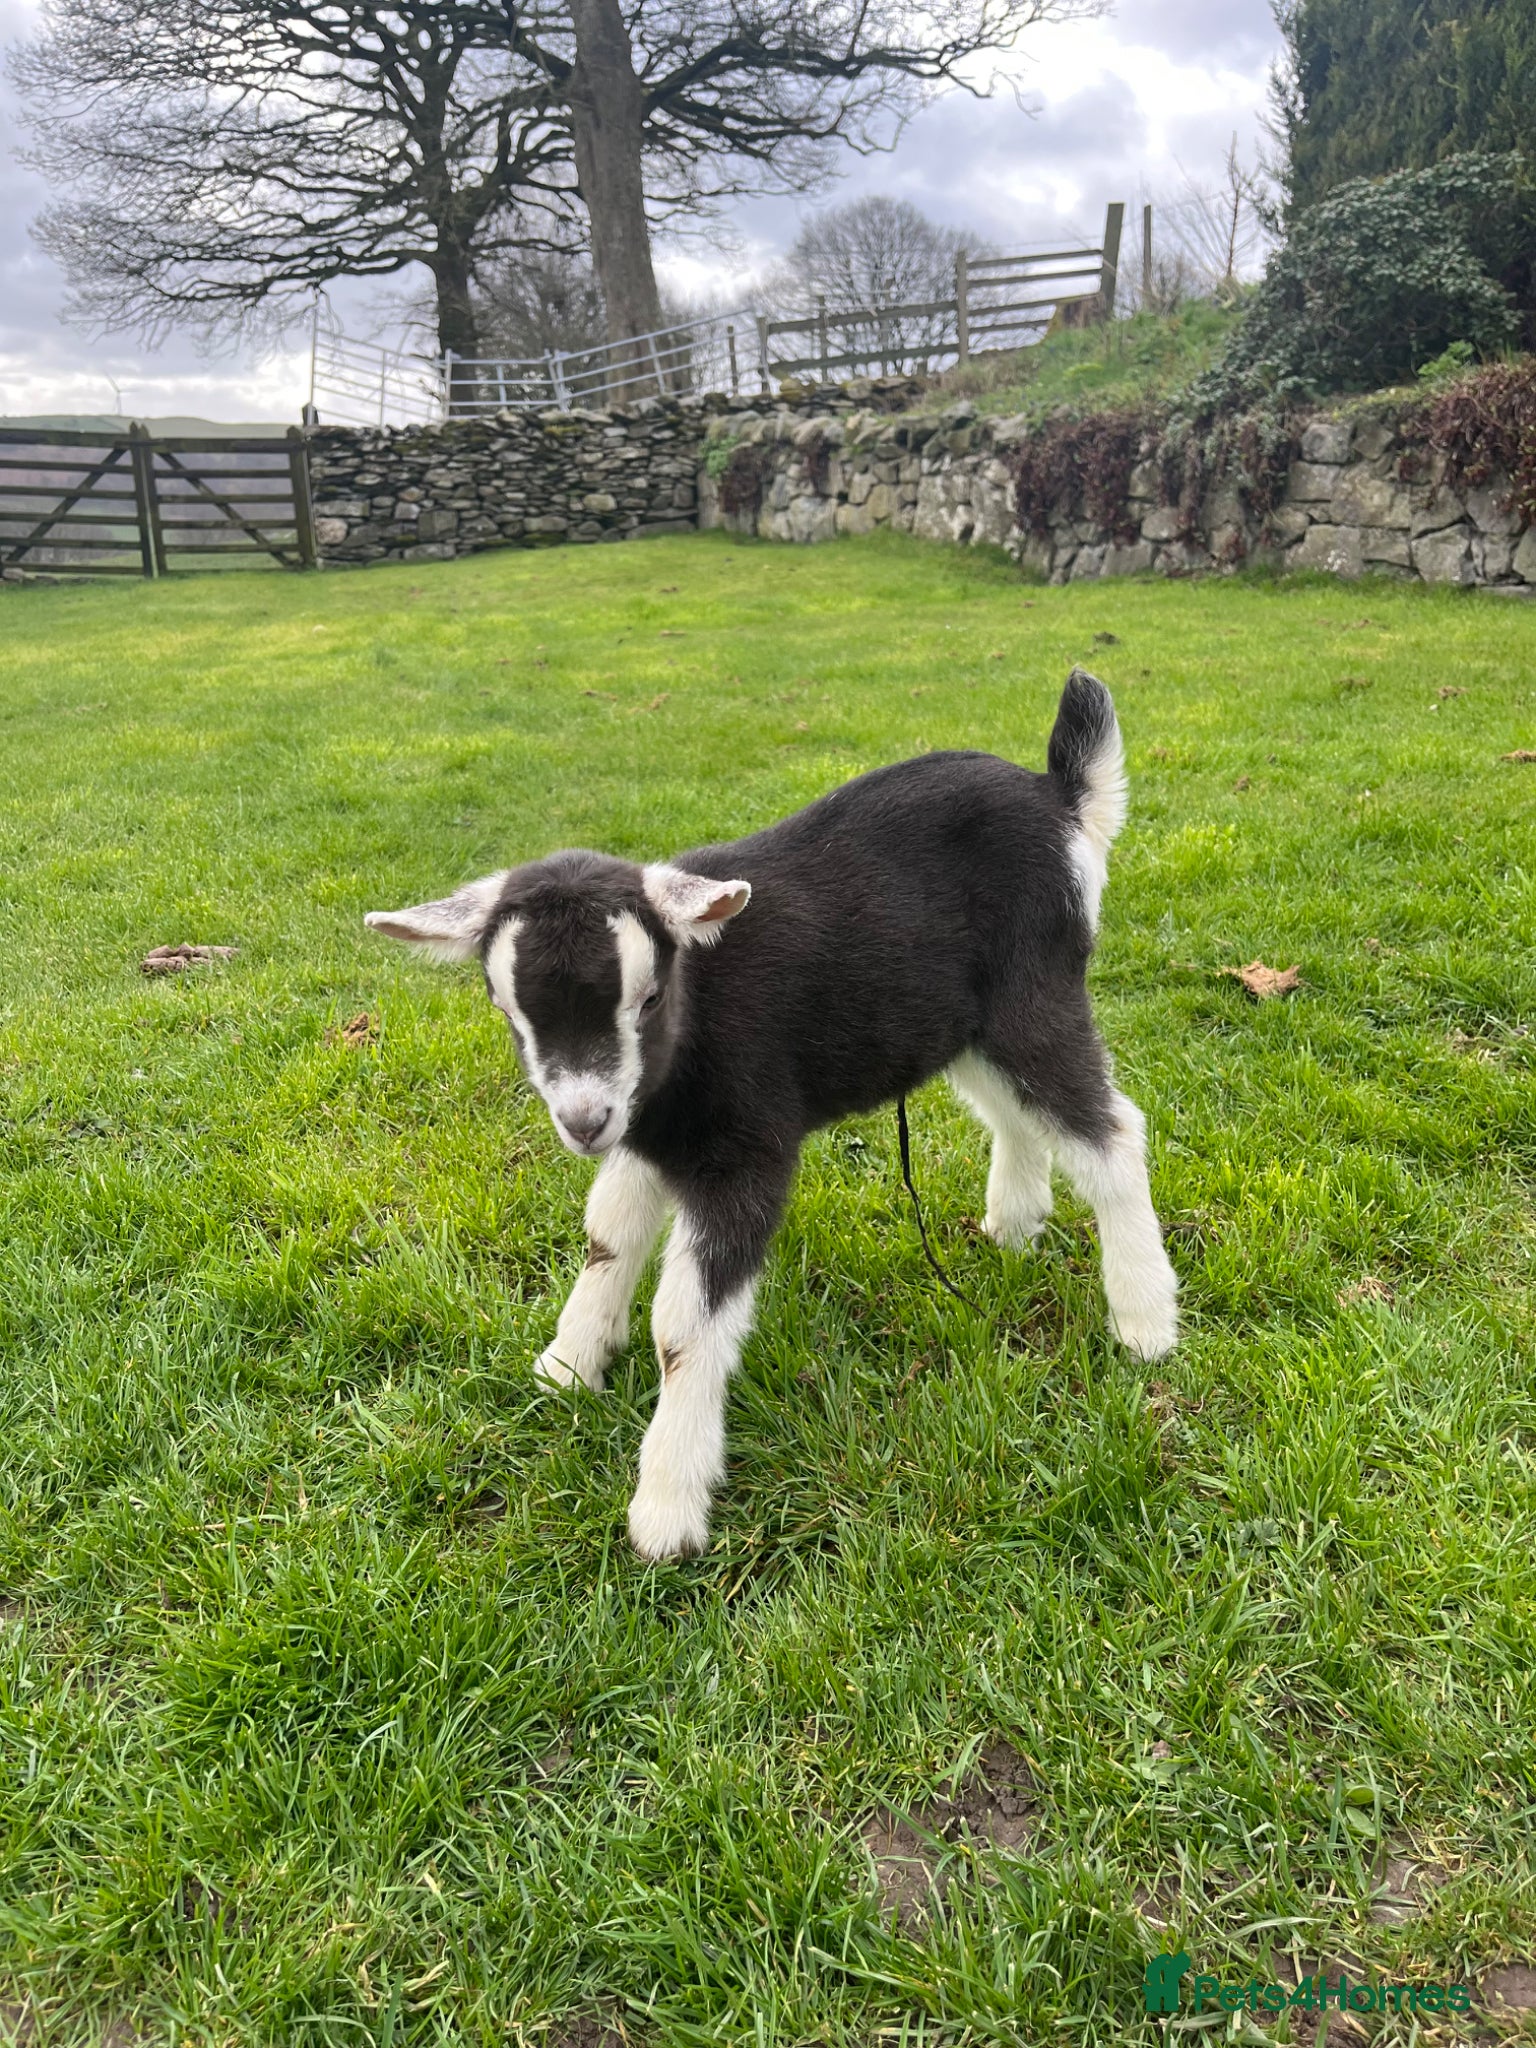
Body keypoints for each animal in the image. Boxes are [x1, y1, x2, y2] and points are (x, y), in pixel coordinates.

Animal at [366, 667, 1179, 1559]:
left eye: (649, 999)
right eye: (509, 1012)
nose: (583, 1122)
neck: (688, 1040)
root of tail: (1063, 798)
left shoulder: (743, 1151)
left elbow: (682, 1324)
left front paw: (667, 1511)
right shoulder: (649, 1134)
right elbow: (607, 1234)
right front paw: (568, 1366)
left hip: (1033, 994)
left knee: (1111, 1132)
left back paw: (1145, 1323)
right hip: (962, 1027)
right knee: (1015, 1115)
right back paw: (1014, 1226)